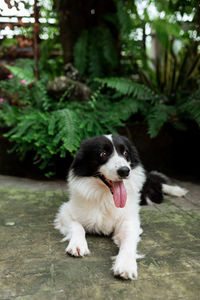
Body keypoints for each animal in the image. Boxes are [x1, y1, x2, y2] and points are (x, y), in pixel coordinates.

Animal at [53, 134, 188, 278]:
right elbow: (78, 226)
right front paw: (78, 244)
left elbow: (128, 241)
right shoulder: (65, 211)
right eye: (103, 154)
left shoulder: (128, 220)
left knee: (155, 183)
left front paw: (126, 264)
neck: (106, 197)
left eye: (125, 153)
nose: (124, 171)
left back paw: (177, 190)